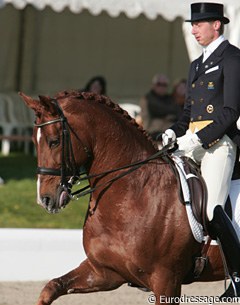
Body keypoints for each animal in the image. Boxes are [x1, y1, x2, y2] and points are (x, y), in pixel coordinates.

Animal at [20, 90, 225, 304]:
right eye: (34, 141)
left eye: (54, 141)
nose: (44, 199)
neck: (131, 197)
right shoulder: (103, 272)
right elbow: (51, 287)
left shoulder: (167, 280)